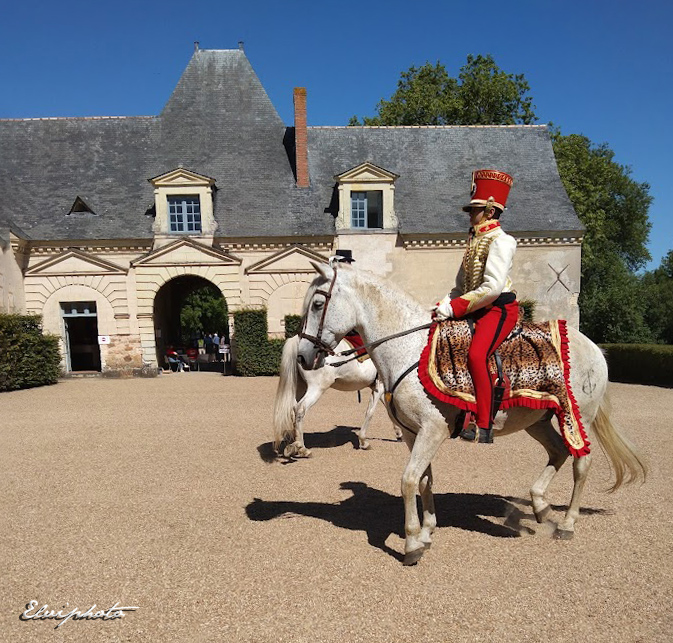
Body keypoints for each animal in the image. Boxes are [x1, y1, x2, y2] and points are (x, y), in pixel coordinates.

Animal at [272, 338, 400, 458]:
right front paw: (363, 441)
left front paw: (398, 432)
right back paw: (303, 449)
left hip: (300, 387)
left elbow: (388, 409)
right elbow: (370, 412)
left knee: (293, 410)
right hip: (316, 388)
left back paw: (294, 445)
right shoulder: (380, 386)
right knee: (300, 409)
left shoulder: (377, 387)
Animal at [296, 262, 644, 564]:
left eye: (317, 304)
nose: (301, 356)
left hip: (577, 416)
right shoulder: (413, 433)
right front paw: (427, 532)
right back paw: (540, 506)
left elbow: (408, 480)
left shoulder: (432, 430)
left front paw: (411, 543)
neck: (410, 349)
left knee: (581, 463)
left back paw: (568, 523)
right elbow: (424, 480)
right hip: (537, 421)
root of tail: (593, 347)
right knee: (558, 453)